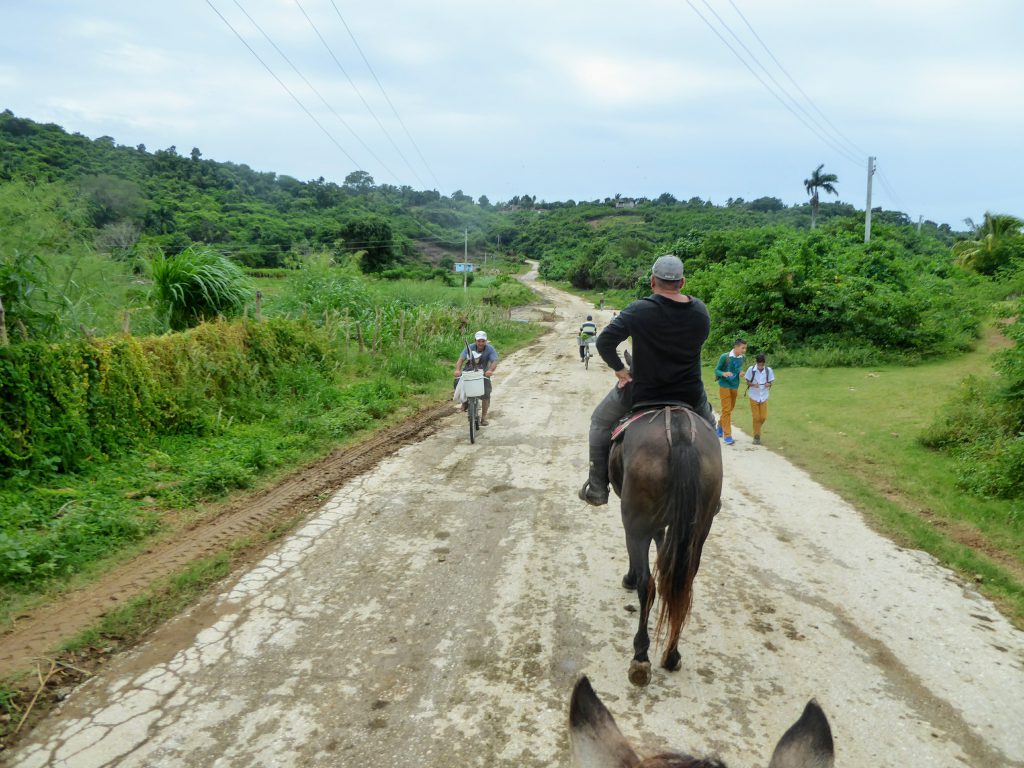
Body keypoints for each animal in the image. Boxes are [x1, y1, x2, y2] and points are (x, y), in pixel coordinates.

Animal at [610, 405, 724, 688]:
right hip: (699, 526)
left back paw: (641, 657)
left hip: (636, 522)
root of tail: (680, 432)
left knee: (648, 585)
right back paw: (671, 654)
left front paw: (629, 578)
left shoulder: (641, 525)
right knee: (682, 584)